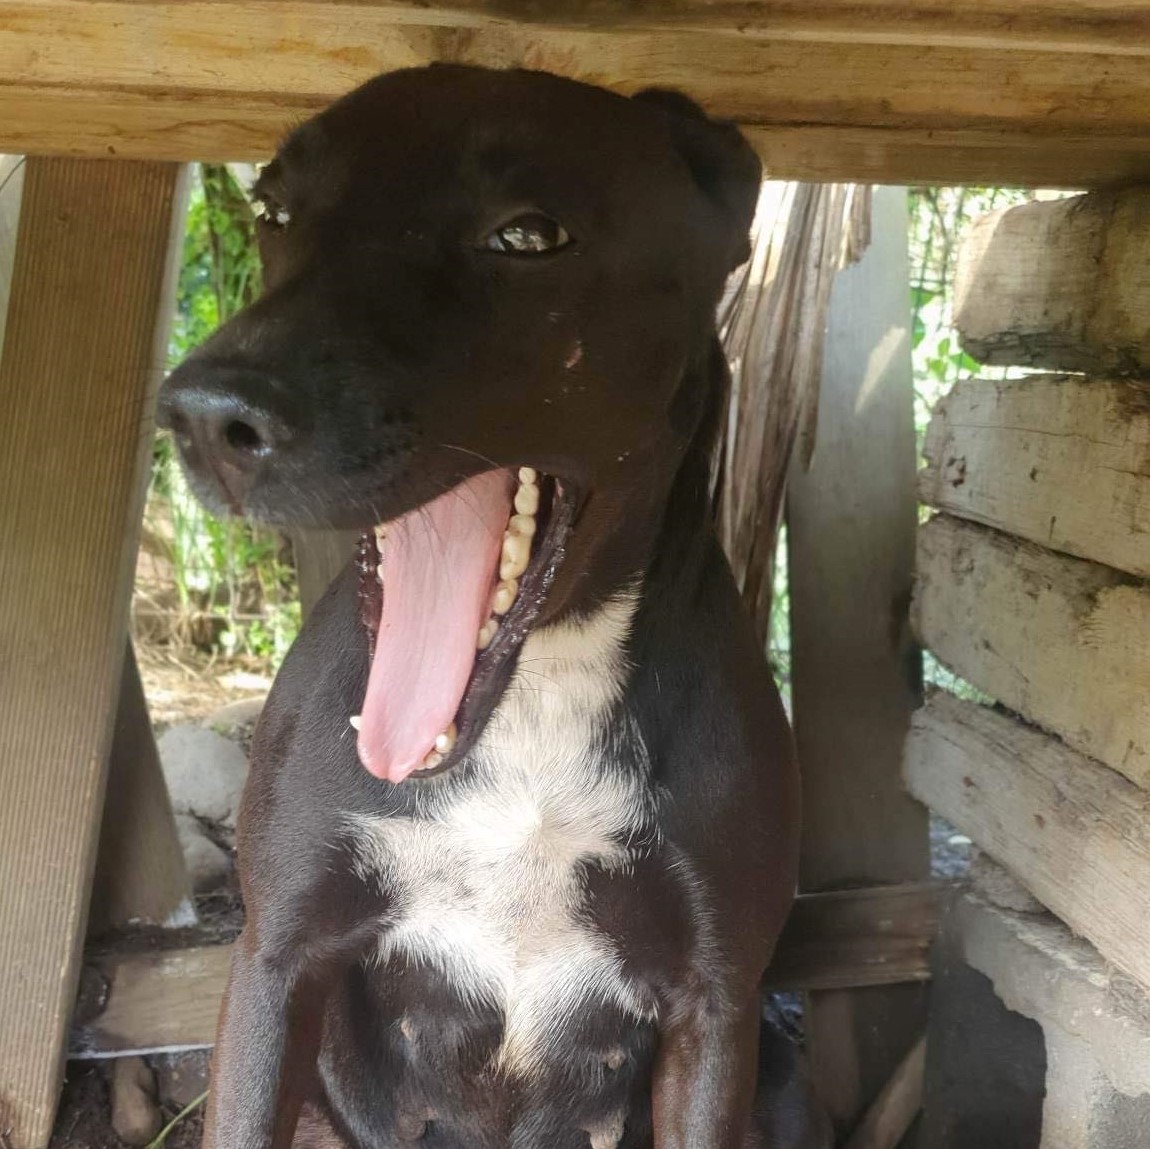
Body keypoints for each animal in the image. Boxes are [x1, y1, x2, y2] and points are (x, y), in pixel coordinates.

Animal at [162, 65, 805, 1149]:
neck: (533, 694)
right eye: (274, 211)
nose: (207, 418)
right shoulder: (275, 962)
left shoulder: (715, 1006)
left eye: (528, 235)